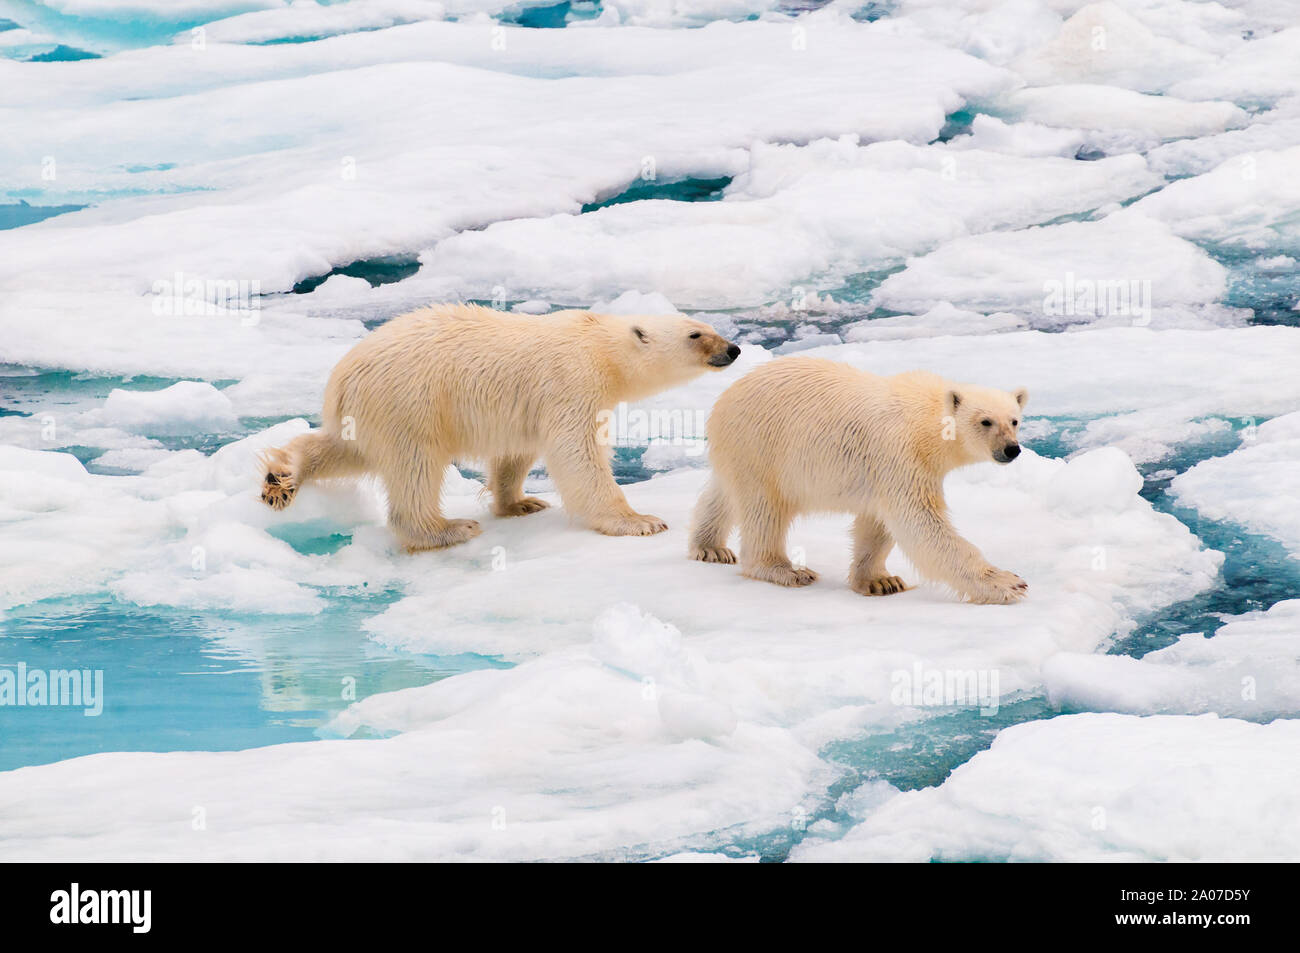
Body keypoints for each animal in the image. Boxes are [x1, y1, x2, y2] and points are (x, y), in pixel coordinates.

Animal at [260, 303, 740, 551]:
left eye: (709, 325)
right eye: (696, 335)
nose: (734, 349)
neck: (600, 346)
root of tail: (342, 377)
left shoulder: (527, 404)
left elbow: (517, 449)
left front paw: (521, 502)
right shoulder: (570, 380)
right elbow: (576, 451)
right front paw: (638, 521)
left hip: (368, 412)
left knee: (344, 449)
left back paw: (280, 476)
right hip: (409, 402)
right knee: (415, 465)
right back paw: (446, 529)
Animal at [688, 357, 1029, 604]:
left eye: (1014, 420)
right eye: (985, 421)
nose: (1011, 449)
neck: (926, 422)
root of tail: (727, 395)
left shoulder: (894, 468)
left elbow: (877, 524)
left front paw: (881, 581)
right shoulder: (900, 454)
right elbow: (920, 522)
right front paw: (1007, 583)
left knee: (723, 493)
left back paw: (710, 547)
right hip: (761, 445)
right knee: (764, 508)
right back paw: (786, 570)